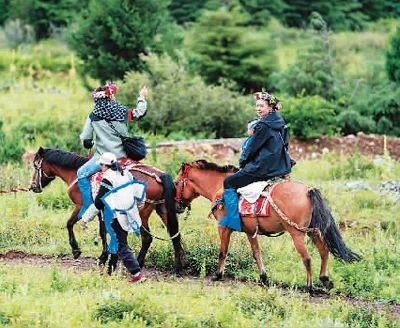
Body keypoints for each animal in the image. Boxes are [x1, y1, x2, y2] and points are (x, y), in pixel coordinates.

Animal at [29, 147, 184, 272]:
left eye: (36, 165)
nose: (33, 186)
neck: (75, 173)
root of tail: (159, 175)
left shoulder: (82, 206)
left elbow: (69, 223)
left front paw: (76, 250)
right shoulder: (101, 211)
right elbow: (103, 231)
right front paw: (104, 256)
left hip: (141, 213)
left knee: (147, 238)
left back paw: (139, 263)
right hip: (163, 210)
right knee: (175, 235)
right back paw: (177, 267)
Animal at [176, 160, 362, 290]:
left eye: (177, 183)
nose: (177, 206)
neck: (219, 187)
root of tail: (308, 190)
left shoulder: (224, 227)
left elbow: (223, 252)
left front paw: (218, 275)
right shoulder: (250, 231)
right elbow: (256, 253)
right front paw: (263, 277)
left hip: (296, 233)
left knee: (307, 257)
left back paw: (310, 286)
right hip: (313, 231)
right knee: (324, 251)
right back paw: (324, 279)